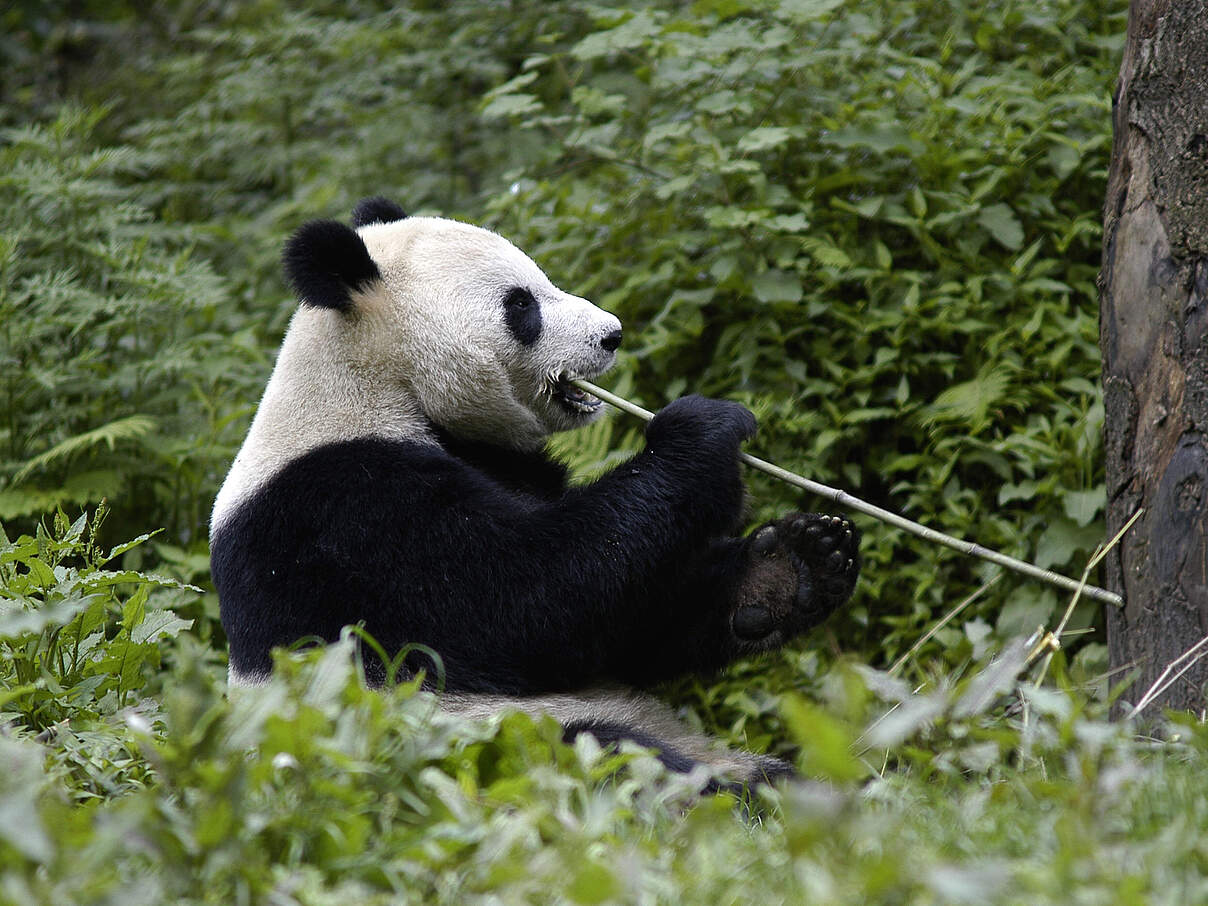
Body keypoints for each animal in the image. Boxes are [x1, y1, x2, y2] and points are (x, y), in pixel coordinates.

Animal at [212, 196, 864, 787]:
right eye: (520, 303)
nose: (612, 335)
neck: (376, 383)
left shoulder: (508, 463)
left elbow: (627, 623)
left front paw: (795, 564)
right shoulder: (342, 512)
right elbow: (523, 600)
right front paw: (702, 431)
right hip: (477, 740)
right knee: (609, 758)